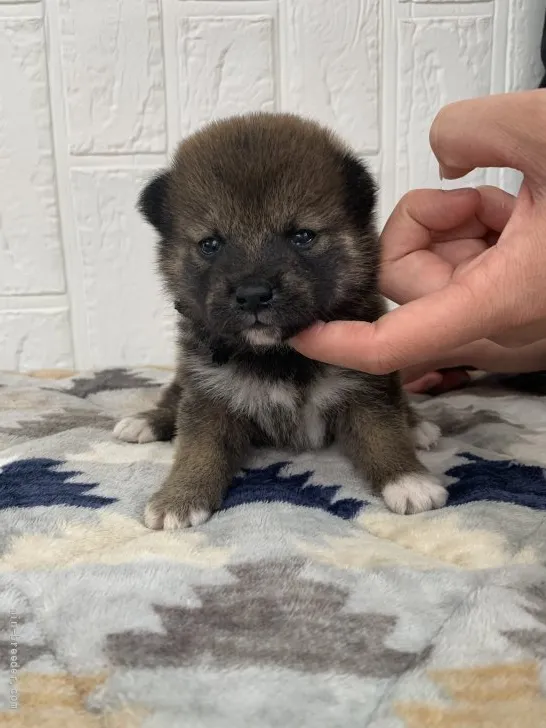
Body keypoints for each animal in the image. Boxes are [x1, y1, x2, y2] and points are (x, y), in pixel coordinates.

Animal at [112, 112, 444, 528]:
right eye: (210, 244)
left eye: (302, 236)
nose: (254, 294)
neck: (278, 355)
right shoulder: (208, 392)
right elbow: (197, 447)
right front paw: (180, 497)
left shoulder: (364, 385)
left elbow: (382, 434)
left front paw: (408, 480)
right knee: (173, 396)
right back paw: (147, 420)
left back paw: (416, 424)